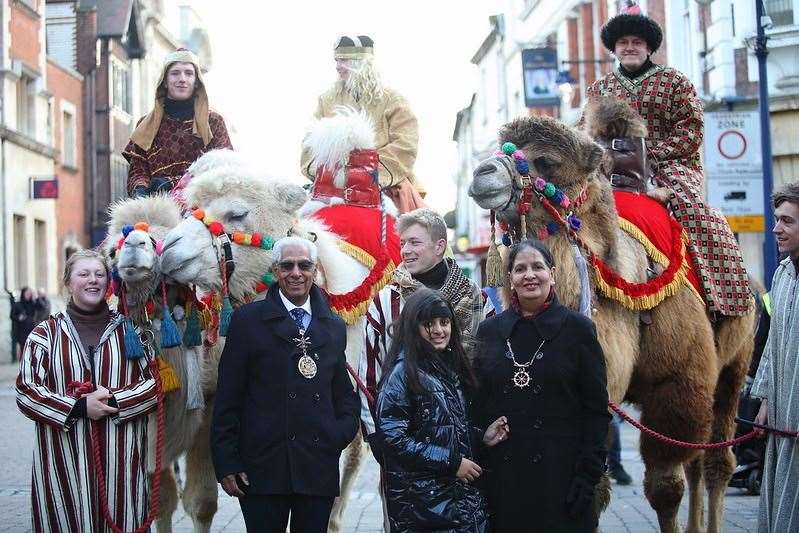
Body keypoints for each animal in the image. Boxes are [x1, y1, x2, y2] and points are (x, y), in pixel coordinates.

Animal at [466, 101, 752, 532]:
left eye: (546, 161)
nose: (482, 173)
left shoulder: (679, 382)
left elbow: (665, 486)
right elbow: (594, 487)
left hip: (735, 365)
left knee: (717, 459)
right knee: (699, 460)